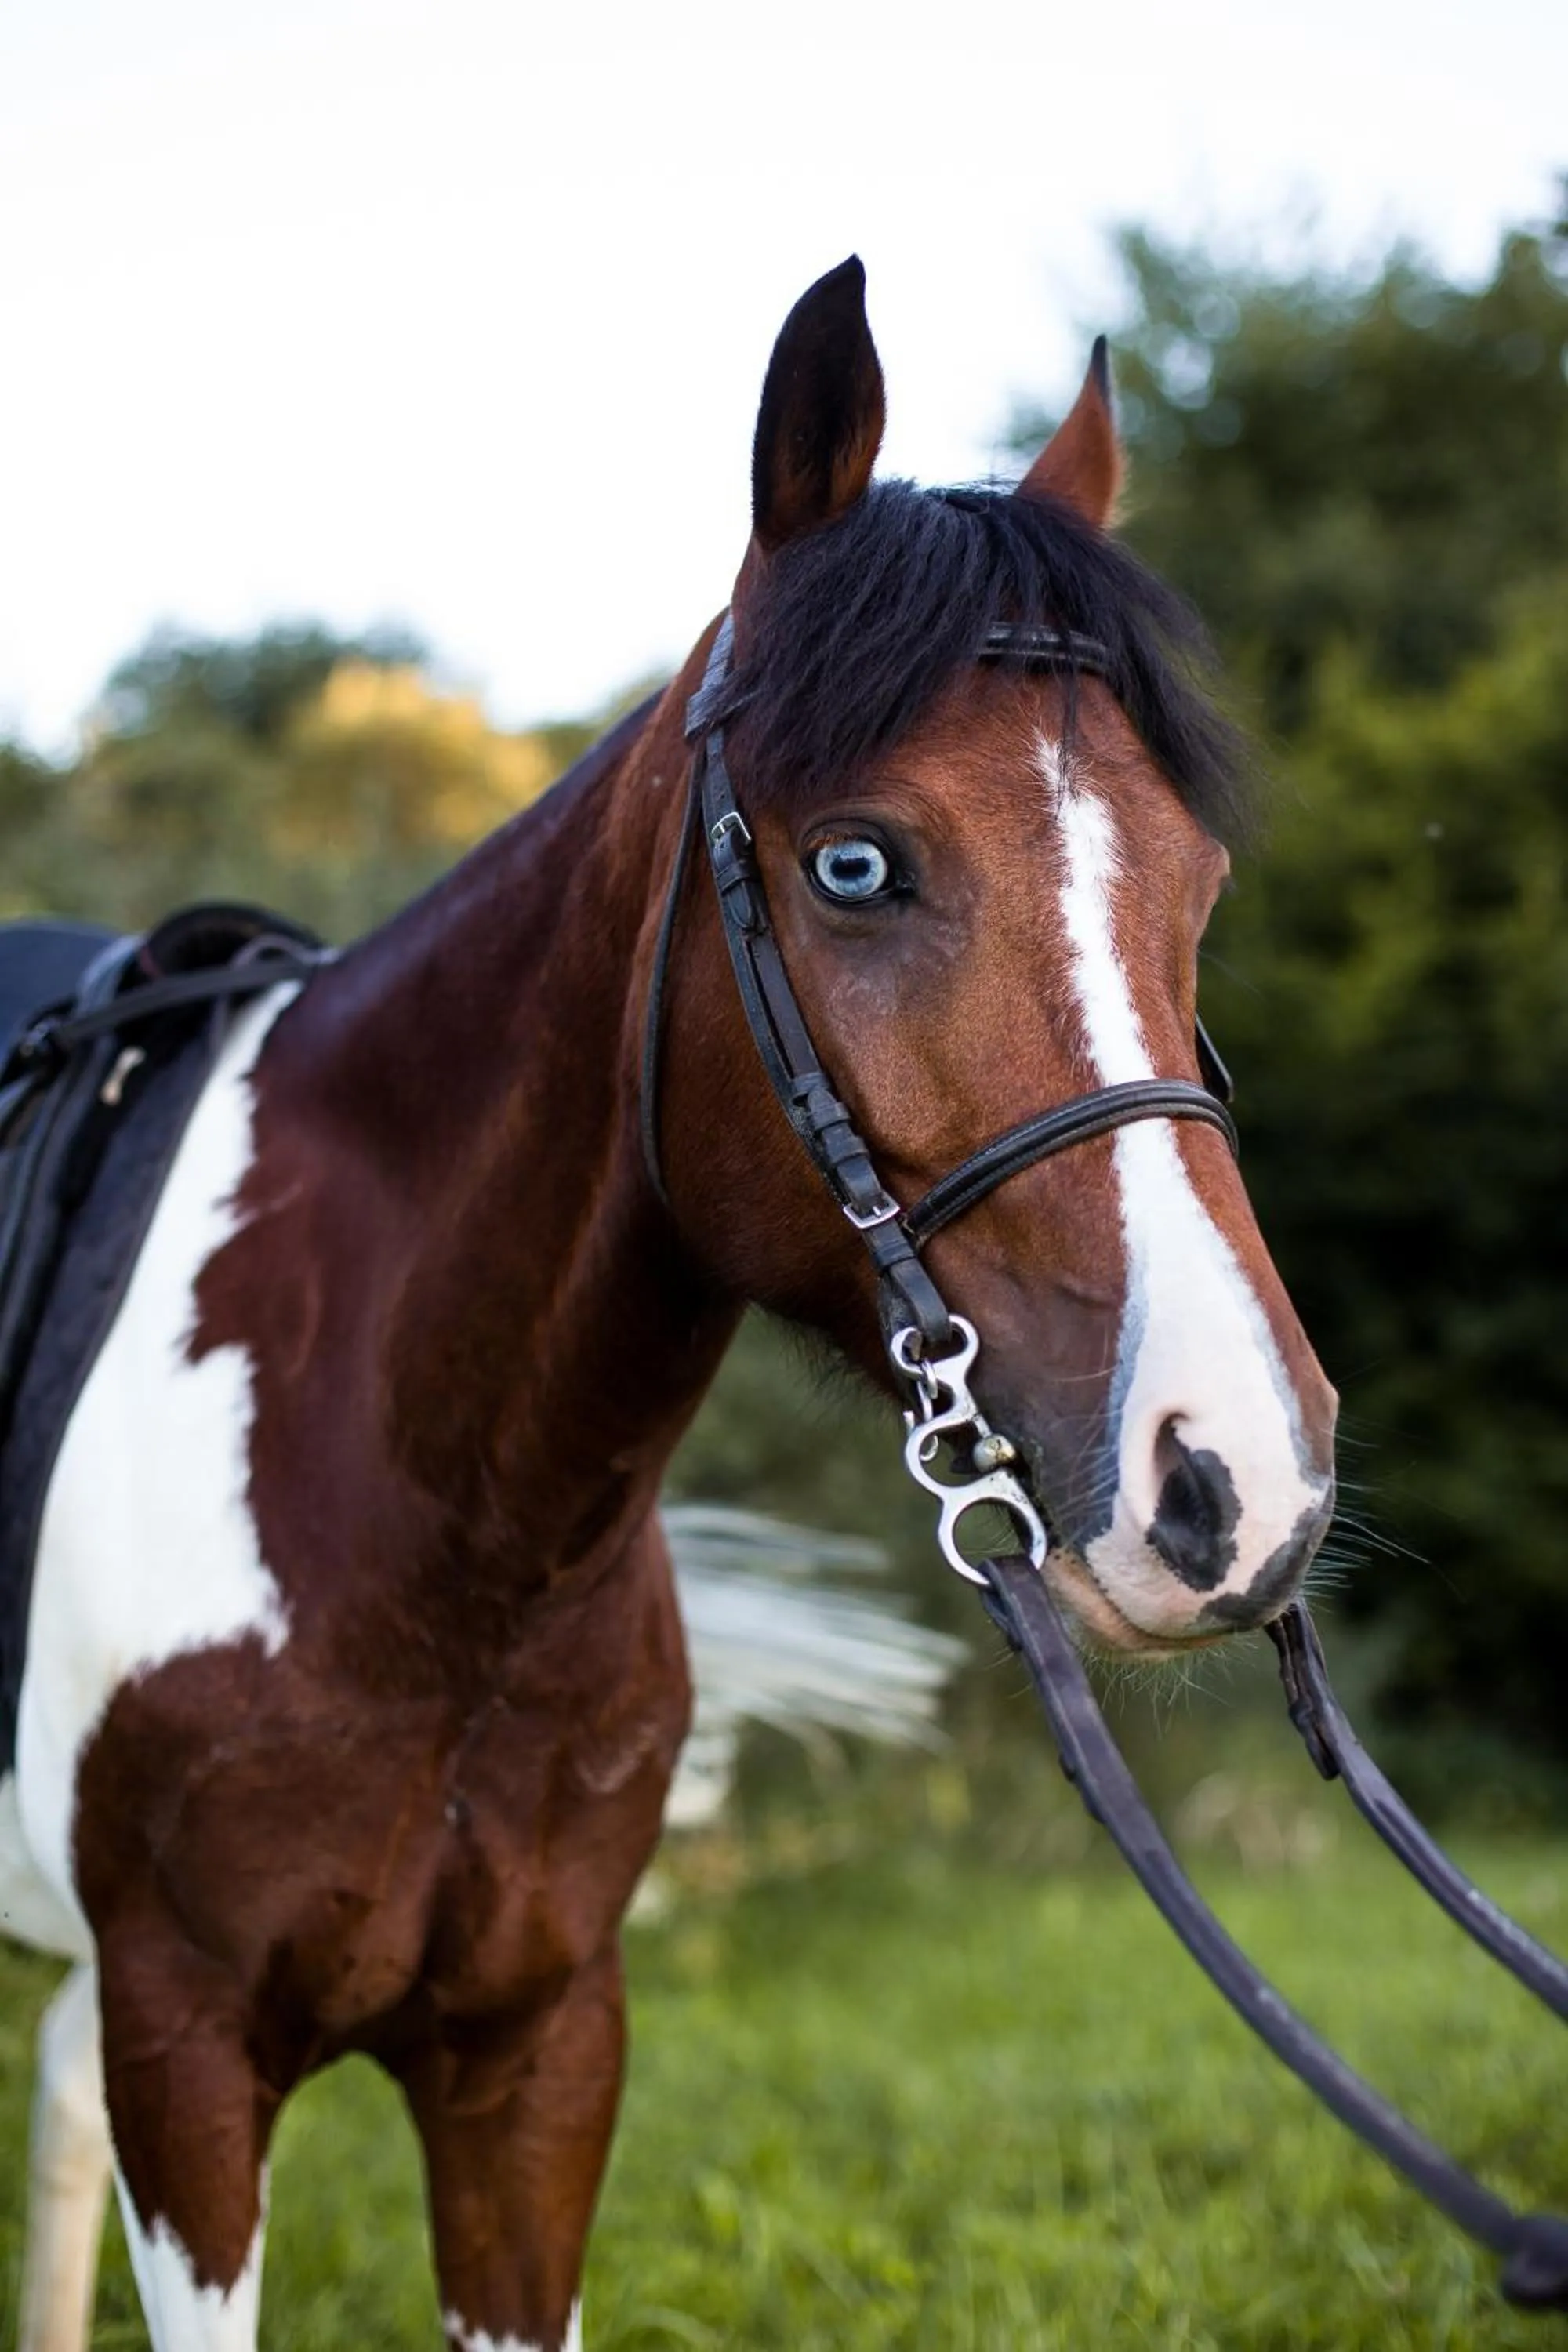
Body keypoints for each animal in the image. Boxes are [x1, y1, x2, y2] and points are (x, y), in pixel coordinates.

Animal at [0, 255, 1337, 2352]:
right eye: (856, 862)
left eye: (1192, 880)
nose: (1233, 1481)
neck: (415, 1505)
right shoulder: (192, 2059)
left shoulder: (537, 2060)